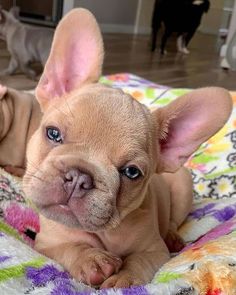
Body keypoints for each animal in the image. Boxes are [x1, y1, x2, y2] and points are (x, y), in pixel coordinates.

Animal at [22, 8, 232, 290]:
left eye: (131, 173)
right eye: (53, 133)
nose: (79, 177)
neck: (103, 234)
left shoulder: (154, 251)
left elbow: (139, 261)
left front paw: (124, 279)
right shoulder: (47, 244)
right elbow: (70, 247)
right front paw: (92, 259)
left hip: (183, 189)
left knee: (173, 220)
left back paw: (172, 236)